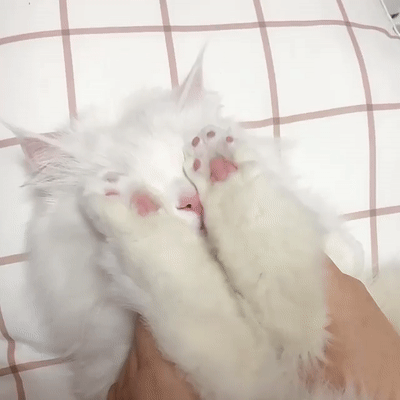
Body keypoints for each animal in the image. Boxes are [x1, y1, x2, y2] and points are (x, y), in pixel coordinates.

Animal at [8, 50, 400, 399]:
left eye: (184, 149)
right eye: (120, 173)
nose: (192, 201)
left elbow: (283, 267)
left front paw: (217, 161)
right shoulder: (245, 376)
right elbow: (185, 283)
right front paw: (135, 204)